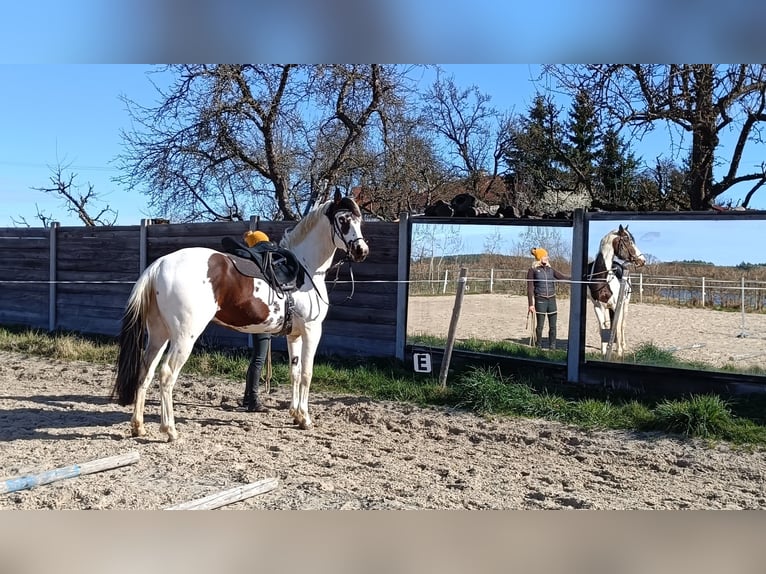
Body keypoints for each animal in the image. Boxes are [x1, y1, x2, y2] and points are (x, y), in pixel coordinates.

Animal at [111, 189, 369, 441]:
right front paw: (305, 419)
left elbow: (294, 373)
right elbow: (306, 374)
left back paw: (138, 426)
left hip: (159, 334)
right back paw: (170, 430)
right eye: (343, 220)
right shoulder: (312, 331)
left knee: (145, 372)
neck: (305, 270)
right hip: (184, 337)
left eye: (360, 220)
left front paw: (295, 414)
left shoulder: (293, 335)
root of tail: (160, 264)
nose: (361, 251)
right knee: (166, 375)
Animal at [586, 225, 646, 358]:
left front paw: (619, 352)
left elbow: (617, 326)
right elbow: (602, 326)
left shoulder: (616, 305)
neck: (603, 279)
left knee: (622, 324)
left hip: (625, 304)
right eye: (627, 240)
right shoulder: (597, 306)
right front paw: (604, 351)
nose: (642, 260)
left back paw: (622, 345)